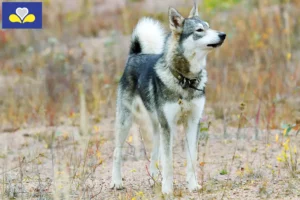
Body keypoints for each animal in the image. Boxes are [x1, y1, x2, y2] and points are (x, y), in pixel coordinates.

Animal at [111, 0, 226, 195]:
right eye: (199, 30)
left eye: (209, 26)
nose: (223, 34)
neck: (185, 80)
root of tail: (135, 55)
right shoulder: (169, 126)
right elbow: (169, 162)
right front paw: (167, 189)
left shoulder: (192, 123)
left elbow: (191, 159)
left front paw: (193, 185)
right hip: (126, 122)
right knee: (117, 153)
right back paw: (116, 181)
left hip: (157, 125)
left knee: (154, 152)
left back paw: (154, 177)